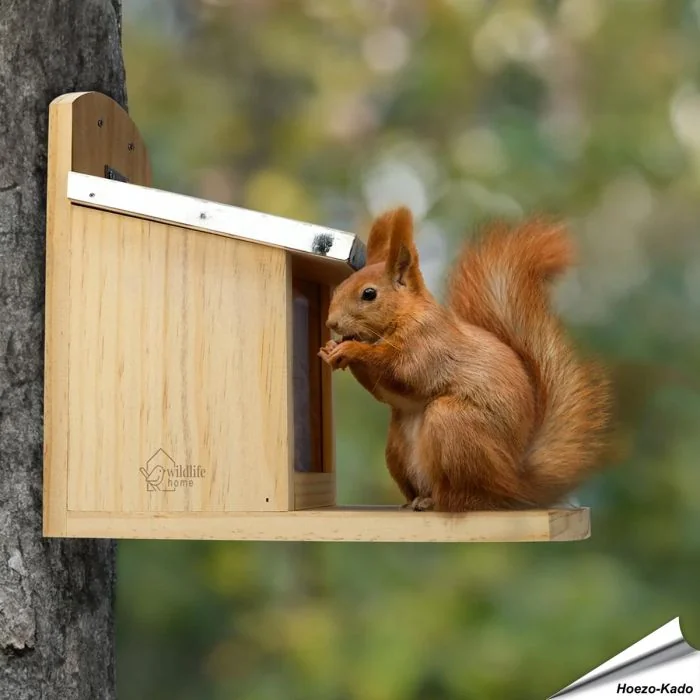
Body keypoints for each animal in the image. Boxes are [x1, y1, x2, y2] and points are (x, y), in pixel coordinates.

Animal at [318, 206, 611, 512]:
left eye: (369, 294)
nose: (332, 323)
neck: (405, 315)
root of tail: (514, 484)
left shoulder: (429, 344)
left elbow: (404, 371)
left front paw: (351, 350)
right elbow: (383, 389)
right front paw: (330, 348)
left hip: (453, 424)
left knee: (465, 498)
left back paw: (436, 501)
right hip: (397, 447)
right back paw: (414, 501)